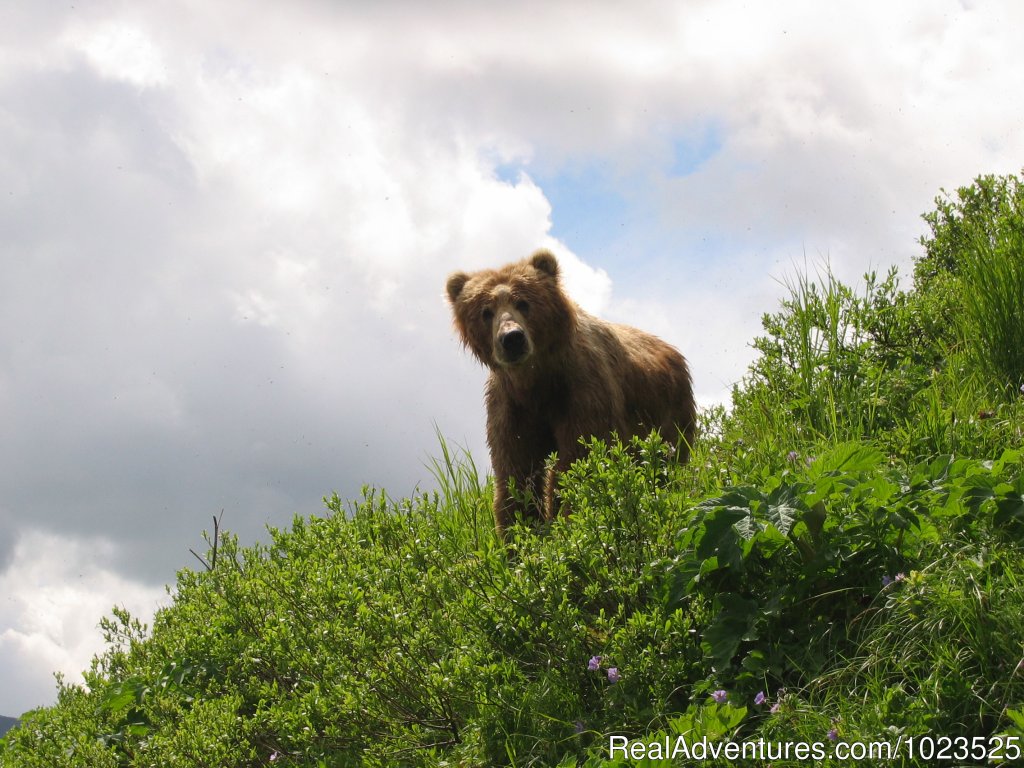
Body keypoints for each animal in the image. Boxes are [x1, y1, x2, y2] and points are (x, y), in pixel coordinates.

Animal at [444, 249, 692, 536]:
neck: (537, 382)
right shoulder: (512, 408)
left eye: (523, 302)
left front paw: (570, 519)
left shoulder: (581, 391)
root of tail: (673, 351)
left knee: (667, 460)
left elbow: (580, 458)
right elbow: (517, 471)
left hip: (668, 413)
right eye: (486, 311)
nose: (512, 338)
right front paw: (519, 533)